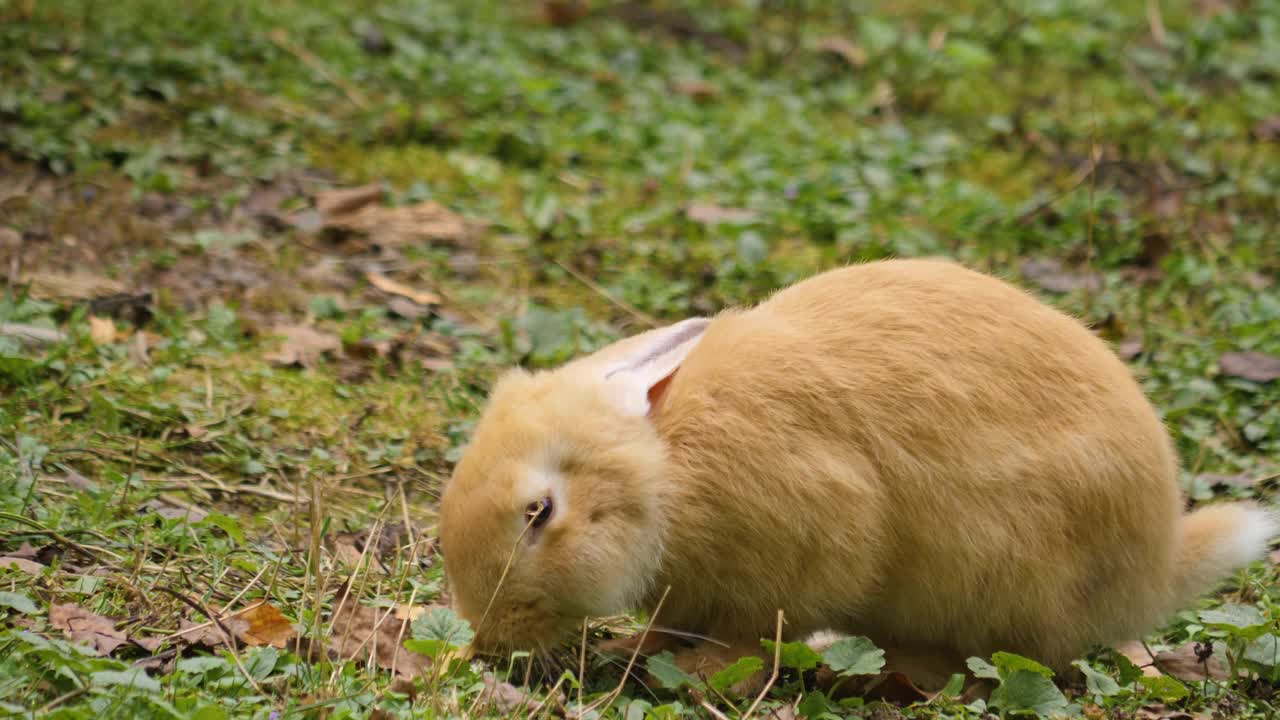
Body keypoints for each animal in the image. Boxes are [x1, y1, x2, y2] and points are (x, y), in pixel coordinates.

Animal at [435, 257, 1274, 676]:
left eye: (540, 512)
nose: (493, 642)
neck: (666, 472)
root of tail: (1154, 568)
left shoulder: (807, 547)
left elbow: (748, 635)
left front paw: (697, 668)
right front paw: (630, 648)